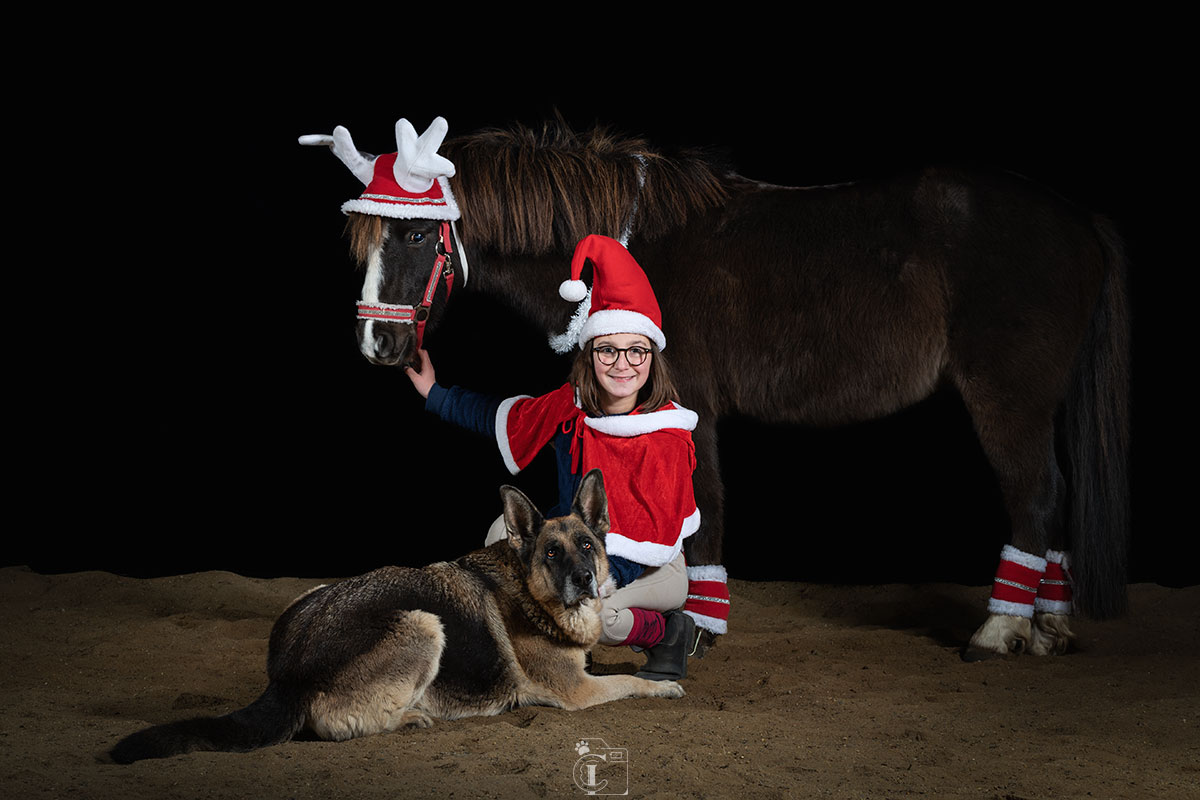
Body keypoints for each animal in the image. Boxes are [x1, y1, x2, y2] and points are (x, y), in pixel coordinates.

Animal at [111, 470, 686, 762]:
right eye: (550, 553)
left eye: (587, 546)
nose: (585, 579)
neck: (529, 589)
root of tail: (289, 674)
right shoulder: (577, 691)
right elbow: (629, 683)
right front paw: (663, 686)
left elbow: (616, 670)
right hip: (422, 622)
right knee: (337, 724)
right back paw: (410, 717)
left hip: (317, 596)